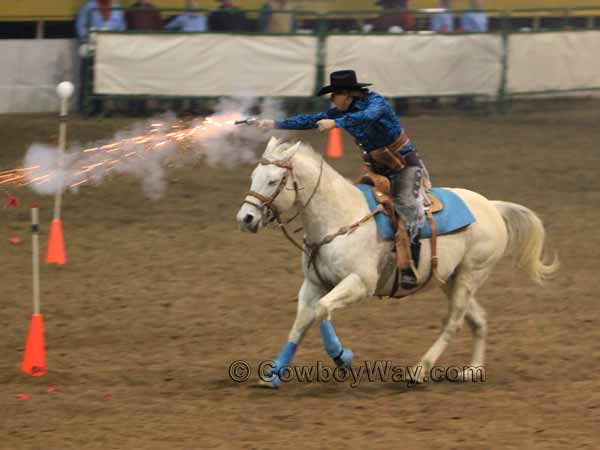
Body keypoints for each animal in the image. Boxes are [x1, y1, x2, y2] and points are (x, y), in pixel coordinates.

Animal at [237, 137, 560, 386]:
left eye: (273, 180)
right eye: (252, 177)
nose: (246, 218)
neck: (341, 219)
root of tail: (492, 206)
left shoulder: (360, 284)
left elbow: (322, 310)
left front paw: (343, 357)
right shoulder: (313, 284)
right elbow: (302, 323)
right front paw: (272, 376)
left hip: (472, 273)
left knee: (453, 322)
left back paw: (419, 370)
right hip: (450, 278)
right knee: (478, 320)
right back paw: (473, 371)